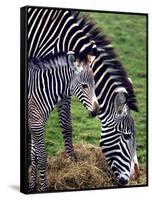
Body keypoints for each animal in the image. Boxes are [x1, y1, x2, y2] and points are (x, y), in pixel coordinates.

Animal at [27, 52, 99, 192]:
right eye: (84, 86)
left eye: (95, 84)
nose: (96, 111)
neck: (41, 90)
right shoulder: (36, 124)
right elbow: (42, 158)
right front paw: (43, 188)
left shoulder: (35, 124)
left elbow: (33, 156)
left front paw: (32, 186)